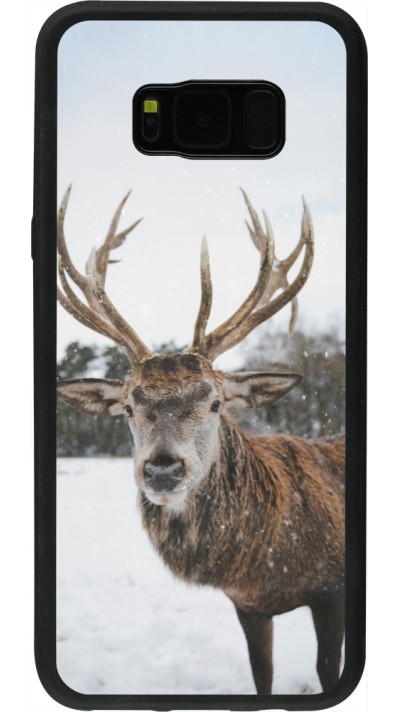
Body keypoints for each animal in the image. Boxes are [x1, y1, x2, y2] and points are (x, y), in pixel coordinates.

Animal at [56, 186, 345, 695]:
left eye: (214, 402)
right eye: (128, 407)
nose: (163, 469)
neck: (266, 564)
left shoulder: (333, 590)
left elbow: (328, 672)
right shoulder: (247, 605)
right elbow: (262, 676)